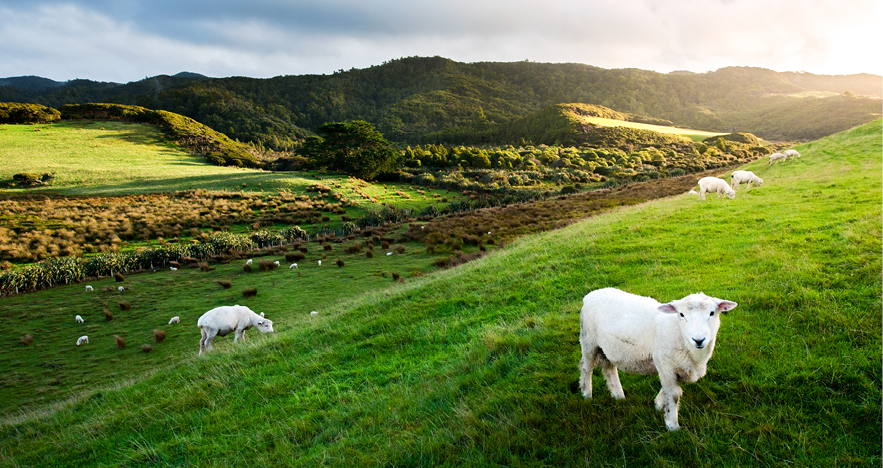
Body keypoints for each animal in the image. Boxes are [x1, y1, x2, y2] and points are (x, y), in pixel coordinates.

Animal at [580, 288, 740, 432]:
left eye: (712, 313)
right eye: (681, 314)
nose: (699, 340)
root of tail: (592, 294)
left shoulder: (676, 367)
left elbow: (670, 390)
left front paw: (658, 404)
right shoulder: (665, 364)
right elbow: (674, 394)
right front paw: (672, 425)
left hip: (609, 348)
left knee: (609, 369)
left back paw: (618, 396)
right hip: (589, 341)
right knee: (586, 368)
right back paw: (587, 395)